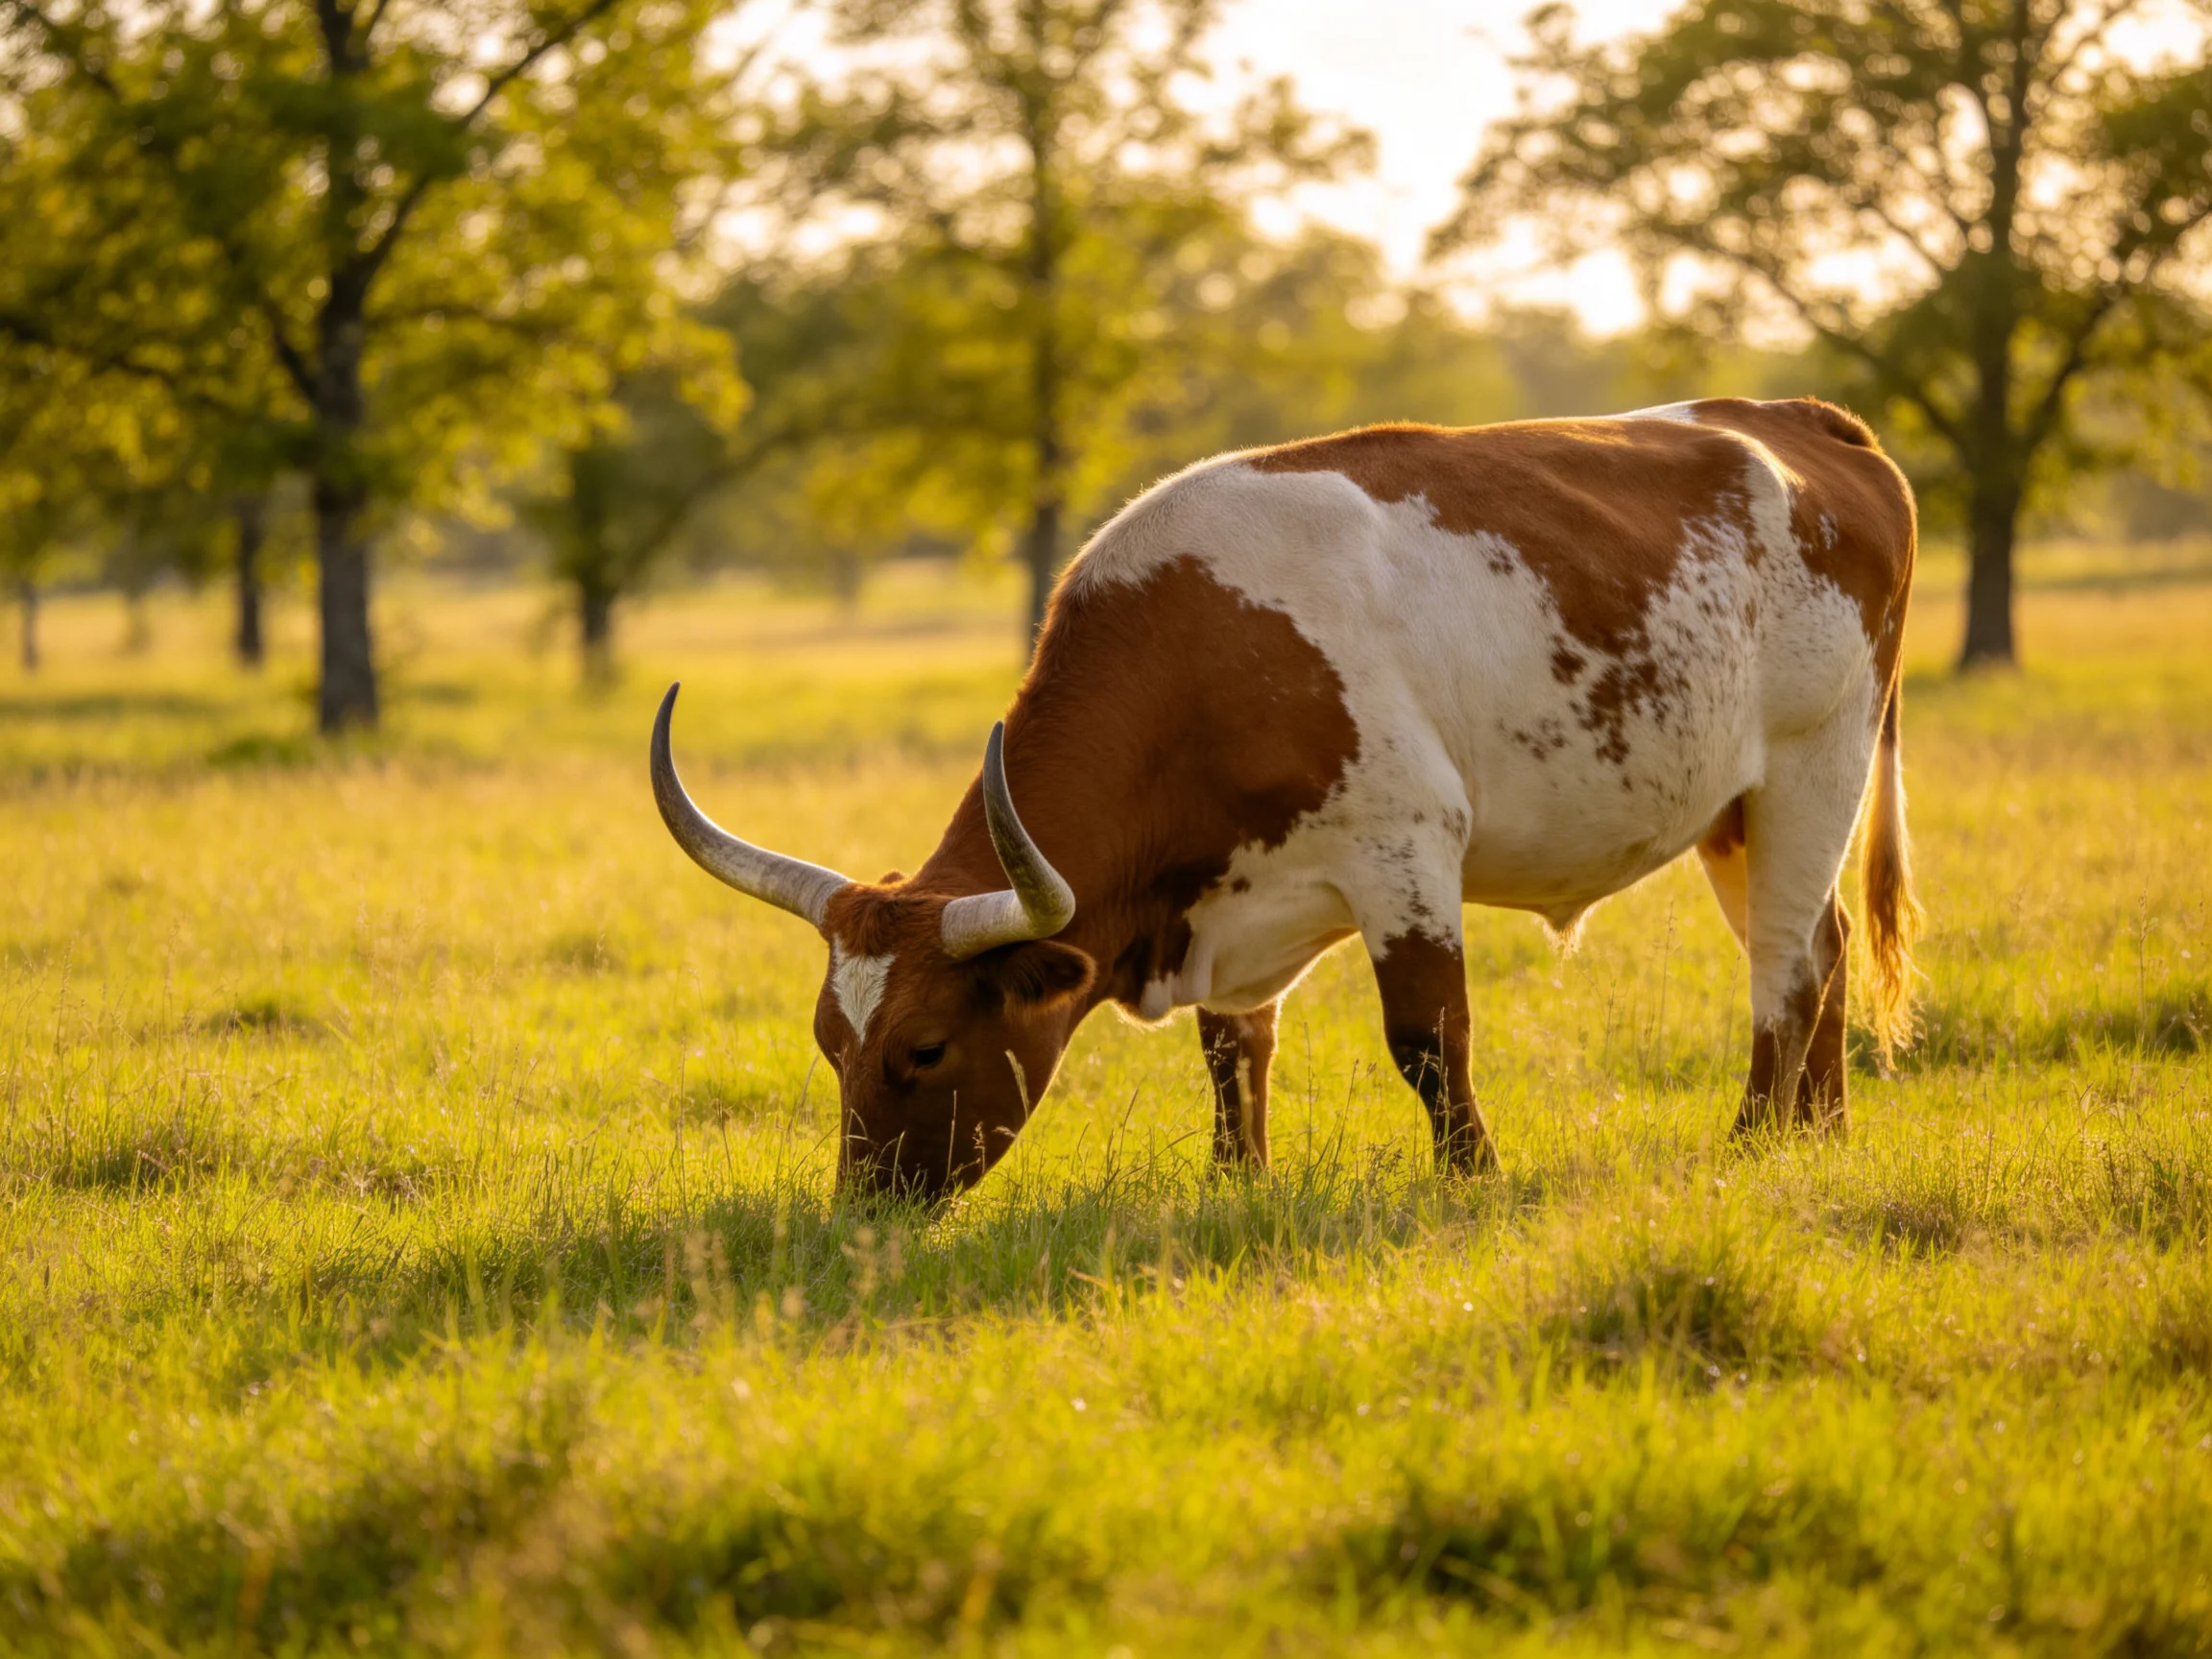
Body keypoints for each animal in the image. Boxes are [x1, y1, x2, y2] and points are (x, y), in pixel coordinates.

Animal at [651, 397, 1922, 1200]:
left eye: (922, 1048)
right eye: (830, 1043)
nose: (861, 1213)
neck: (1199, 656)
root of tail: (1803, 420)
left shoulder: (1406, 849)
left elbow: (1428, 1037)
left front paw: (1472, 1177)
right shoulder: (1233, 907)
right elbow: (1234, 1049)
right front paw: (1238, 1181)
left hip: (1817, 760)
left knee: (1786, 968)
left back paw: (1753, 1139)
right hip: (1736, 811)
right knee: (1825, 942)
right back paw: (1822, 1137)